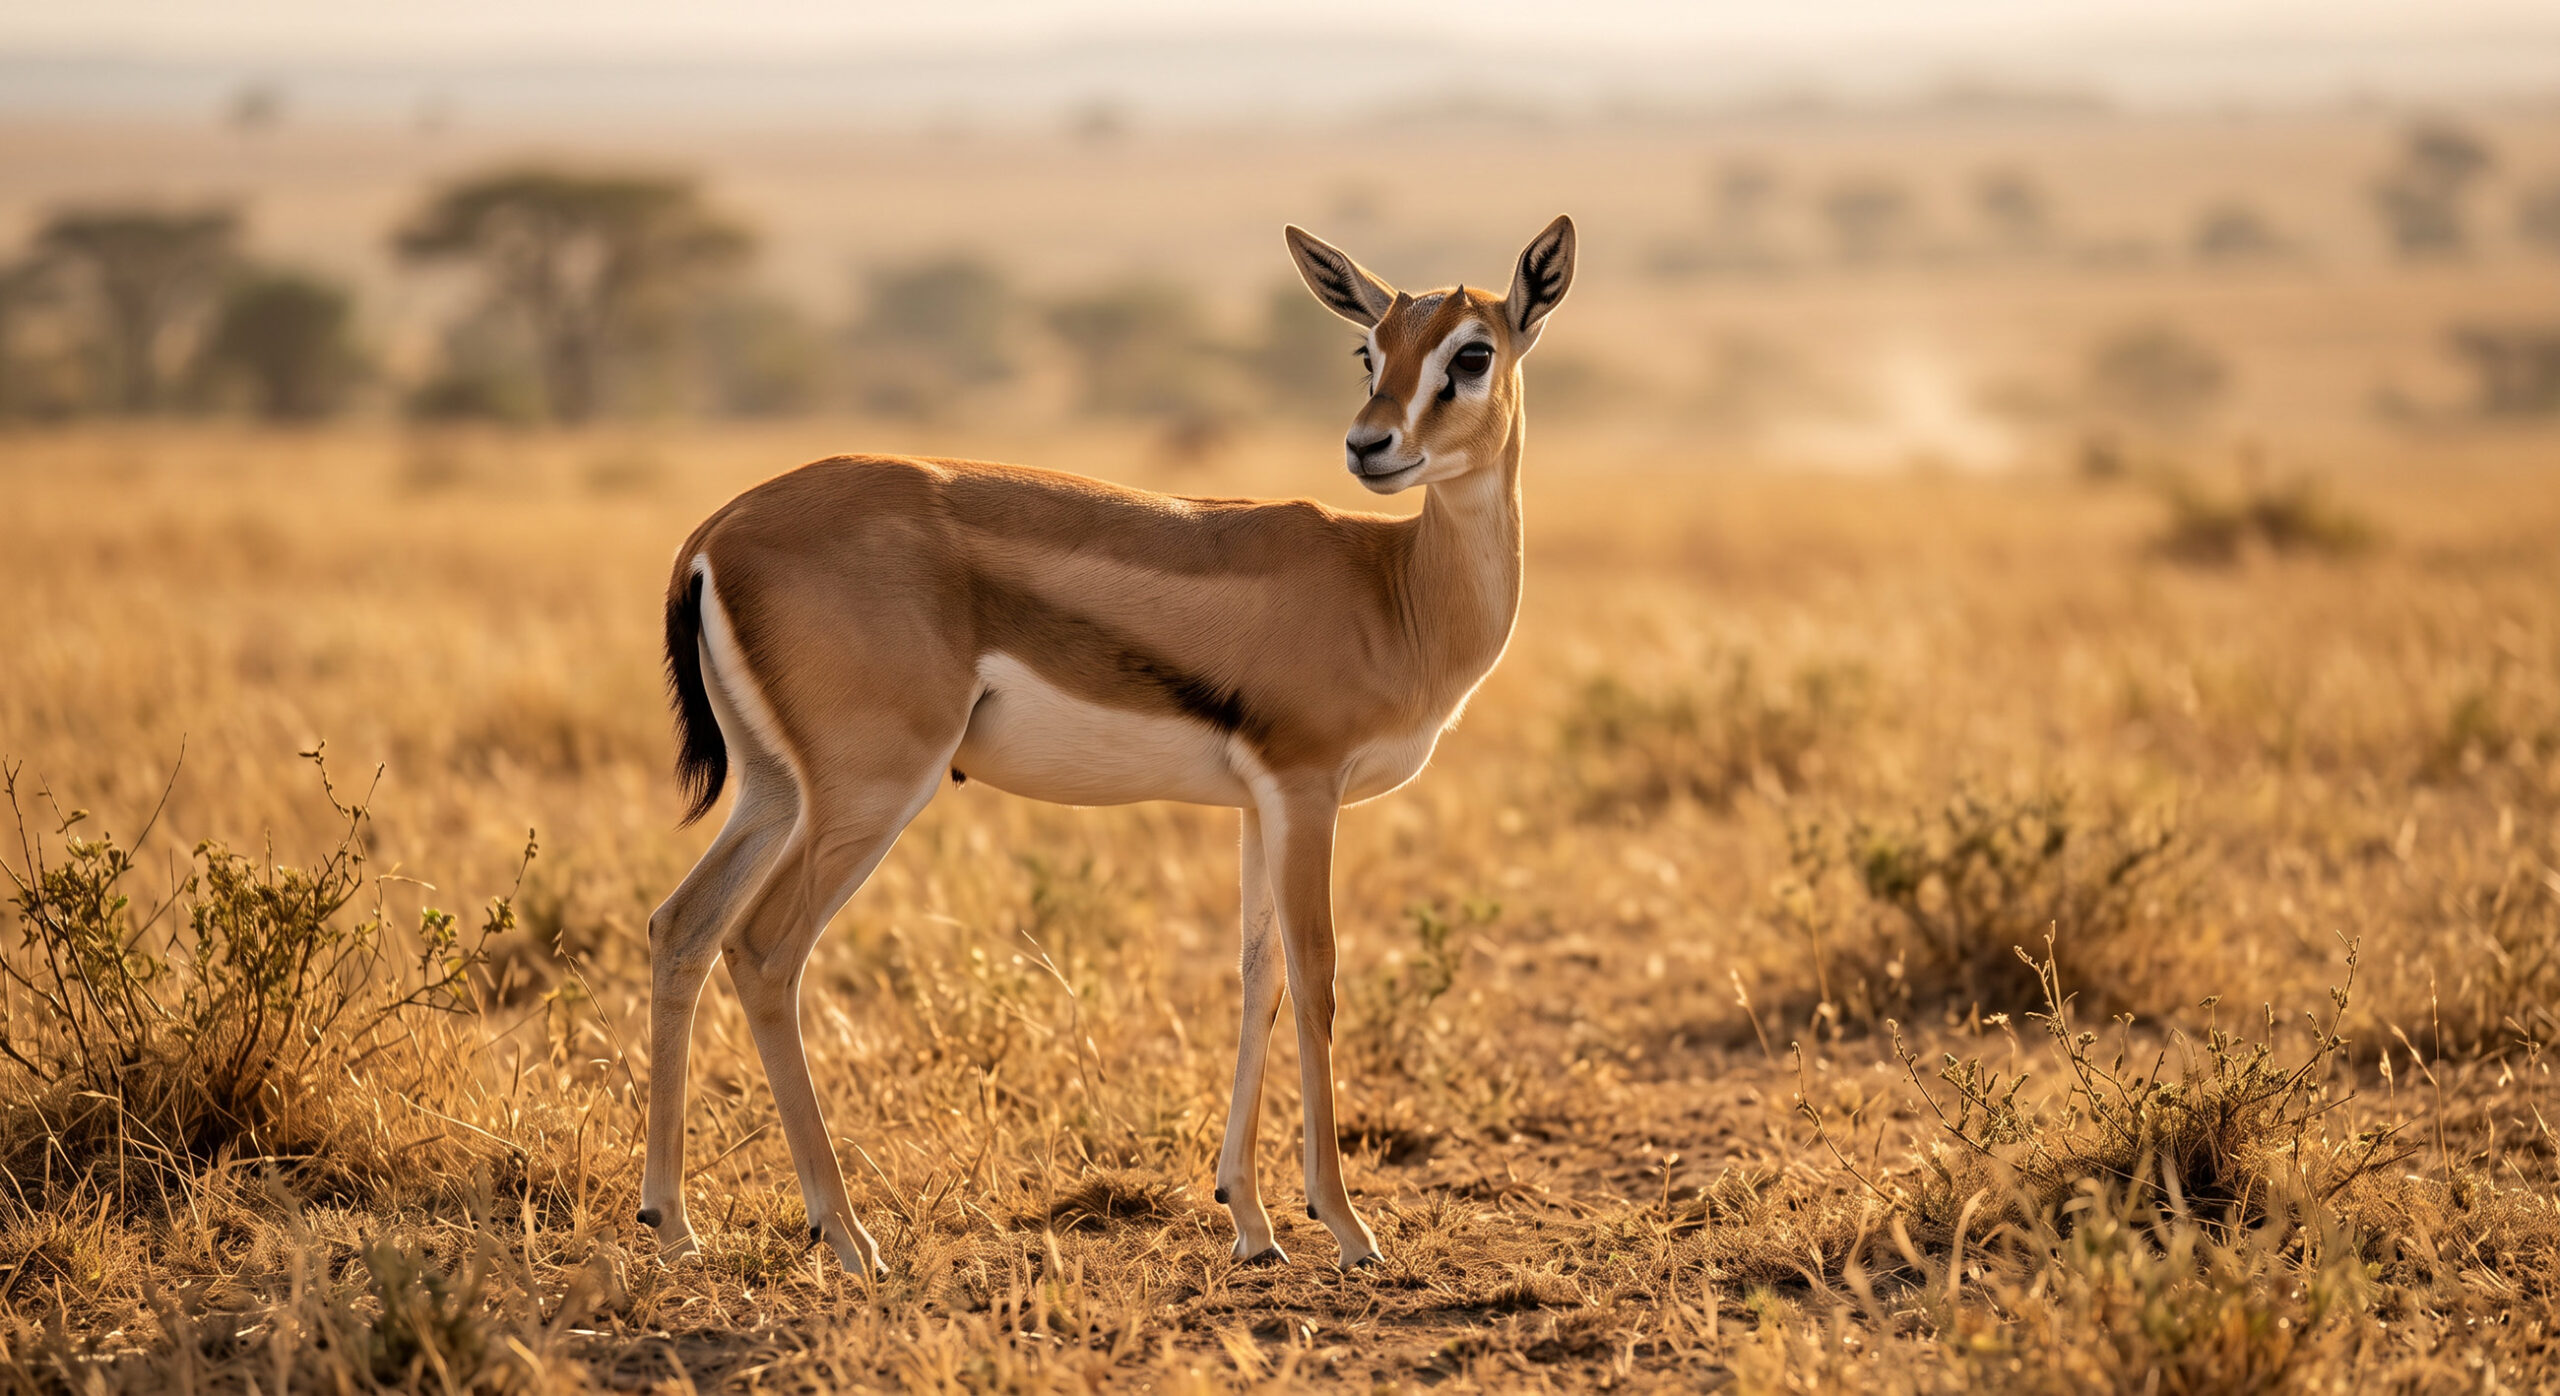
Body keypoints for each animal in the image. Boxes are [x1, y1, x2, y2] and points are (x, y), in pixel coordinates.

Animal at [637, 216, 1576, 1272]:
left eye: (1472, 352)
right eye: (1369, 351)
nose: (1369, 446)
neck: (1393, 589)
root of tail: (715, 535)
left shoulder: (1261, 803)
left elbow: (1257, 976)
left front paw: (1250, 1222)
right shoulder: (1307, 787)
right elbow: (1317, 973)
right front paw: (1344, 1225)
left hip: (774, 789)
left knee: (681, 928)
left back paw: (674, 1226)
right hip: (870, 792)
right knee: (763, 951)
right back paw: (847, 1236)